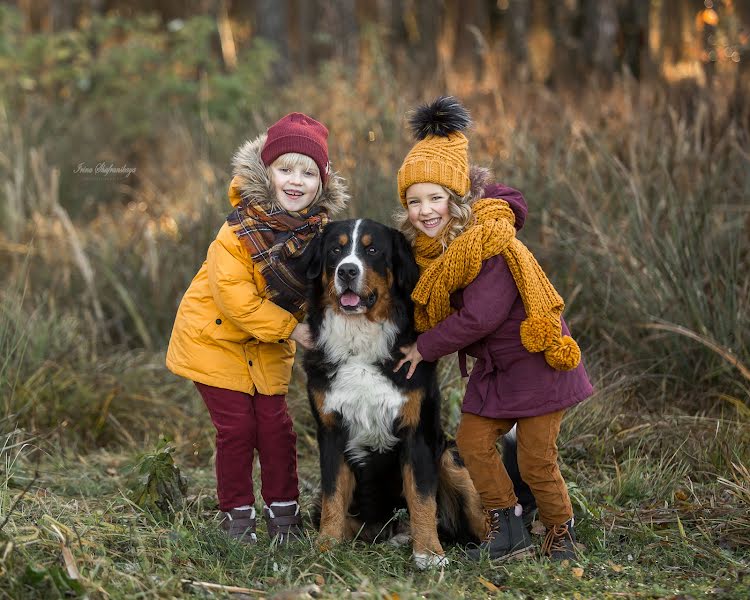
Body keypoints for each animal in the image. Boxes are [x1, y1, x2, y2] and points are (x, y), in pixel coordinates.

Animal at [304, 217, 488, 568]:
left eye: (372, 250)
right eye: (335, 250)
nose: (347, 271)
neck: (359, 344)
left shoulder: (417, 433)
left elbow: (421, 497)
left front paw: (429, 553)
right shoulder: (331, 431)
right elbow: (333, 495)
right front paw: (324, 548)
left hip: (451, 459)